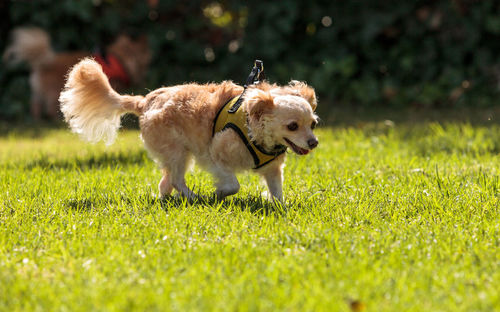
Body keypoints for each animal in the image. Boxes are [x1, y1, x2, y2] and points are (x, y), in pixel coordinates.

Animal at [2, 27, 150, 120]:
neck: (121, 57)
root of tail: (43, 61)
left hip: (38, 93)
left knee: (35, 107)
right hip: (53, 92)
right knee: (50, 109)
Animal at [57, 58, 316, 202]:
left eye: (312, 124)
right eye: (293, 126)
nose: (314, 143)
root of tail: (145, 102)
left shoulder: (272, 170)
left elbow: (277, 191)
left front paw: (280, 207)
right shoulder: (213, 155)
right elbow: (233, 184)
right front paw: (218, 194)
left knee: (166, 182)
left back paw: (167, 199)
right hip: (178, 151)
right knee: (176, 180)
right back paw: (193, 198)